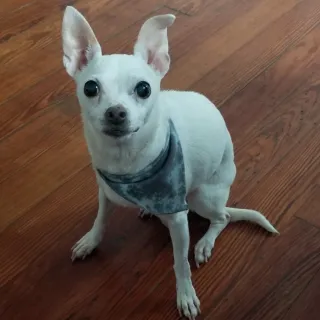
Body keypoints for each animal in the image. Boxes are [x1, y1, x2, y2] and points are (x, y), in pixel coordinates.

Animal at [62, 6, 278, 318]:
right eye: (90, 88)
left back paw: (204, 243)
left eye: (144, 89)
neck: (126, 161)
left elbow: (180, 263)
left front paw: (185, 295)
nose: (116, 113)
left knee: (222, 218)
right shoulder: (106, 191)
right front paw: (91, 241)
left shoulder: (178, 219)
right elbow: (101, 218)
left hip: (202, 198)